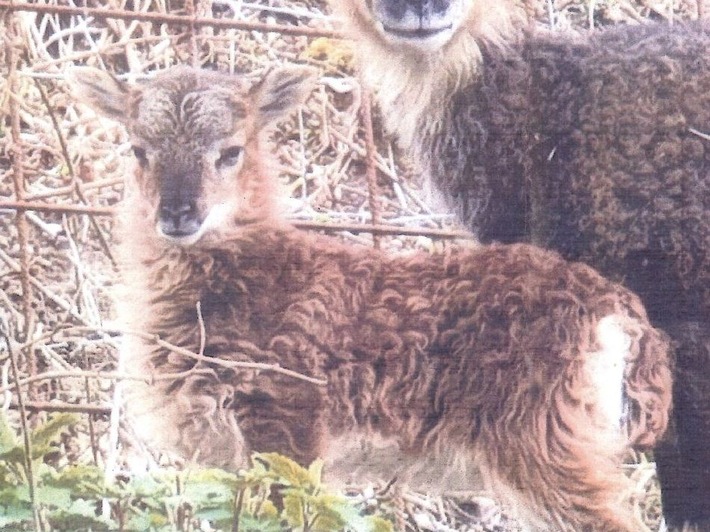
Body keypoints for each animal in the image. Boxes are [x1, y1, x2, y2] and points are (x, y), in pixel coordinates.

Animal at [75, 64, 676, 528]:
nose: (178, 213)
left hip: (545, 439)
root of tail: (619, 315)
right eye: (138, 150)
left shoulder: (287, 420)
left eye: (230, 152)